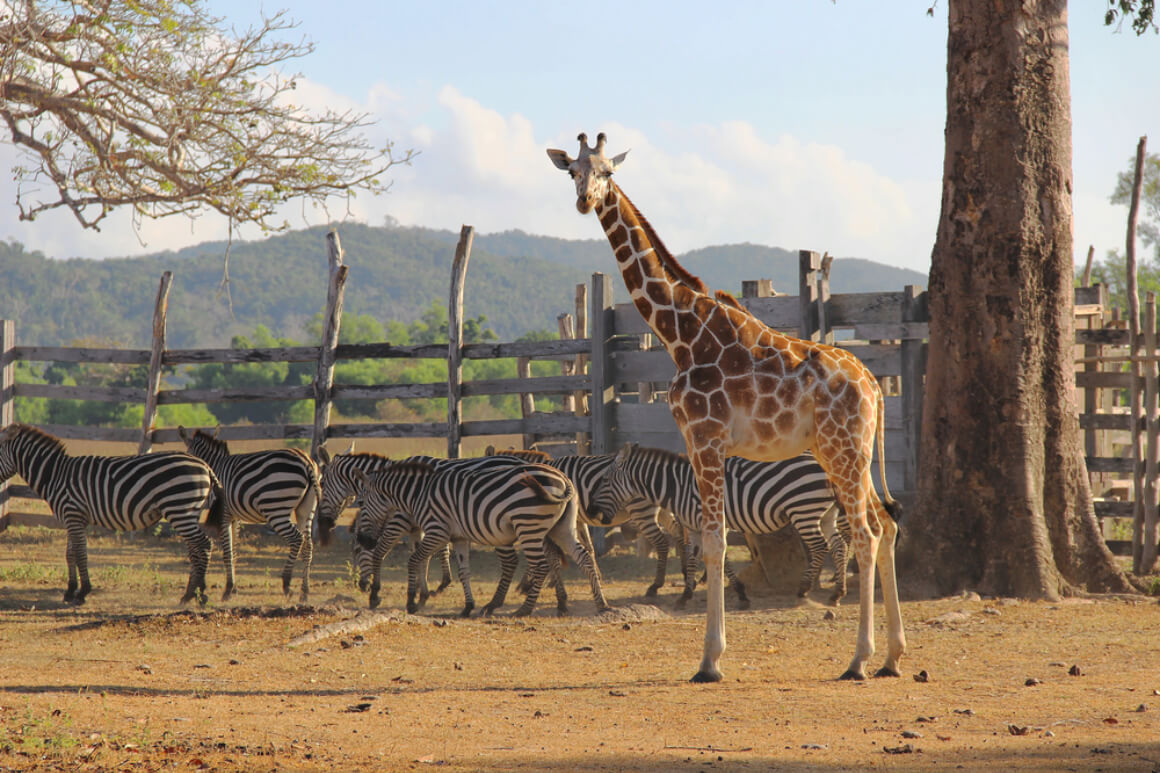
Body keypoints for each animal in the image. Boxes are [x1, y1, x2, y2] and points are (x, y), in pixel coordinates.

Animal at [0, 422, 225, 603]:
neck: (55, 475)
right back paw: (191, 593)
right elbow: (70, 554)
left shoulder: (73, 514)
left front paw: (83, 593)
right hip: (188, 512)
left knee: (204, 544)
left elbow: (80, 553)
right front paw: (70, 591)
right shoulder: (71, 518)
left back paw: (198, 594)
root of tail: (205, 465)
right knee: (195, 549)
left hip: (179, 509)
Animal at [176, 424, 322, 598]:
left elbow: (227, 552)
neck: (215, 466)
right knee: (308, 546)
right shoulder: (235, 517)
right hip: (305, 511)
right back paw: (305, 591)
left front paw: (228, 590)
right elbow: (234, 550)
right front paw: (233, 588)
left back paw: (286, 583)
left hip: (276, 509)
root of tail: (307, 462)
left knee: (296, 539)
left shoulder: (224, 514)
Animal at [352, 457, 612, 612]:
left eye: (361, 503)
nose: (363, 540)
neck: (417, 493)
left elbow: (410, 559)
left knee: (538, 564)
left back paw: (523, 609)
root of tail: (564, 478)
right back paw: (600, 604)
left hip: (526, 525)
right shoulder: (458, 536)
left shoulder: (436, 530)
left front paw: (406, 600)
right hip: (560, 528)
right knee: (582, 557)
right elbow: (463, 570)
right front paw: (467, 606)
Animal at [589, 443, 853, 603]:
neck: (679, 486)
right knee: (839, 545)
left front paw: (739, 593)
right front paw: (687, 594)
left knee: (820, 546)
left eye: (604, 480)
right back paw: (837, 593)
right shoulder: (696, 528)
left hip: (804, 508)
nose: (592, 510)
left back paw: (805, 588)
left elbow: (718, 558)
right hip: (825, 513)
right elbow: (695, 557)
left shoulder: (711, 523)